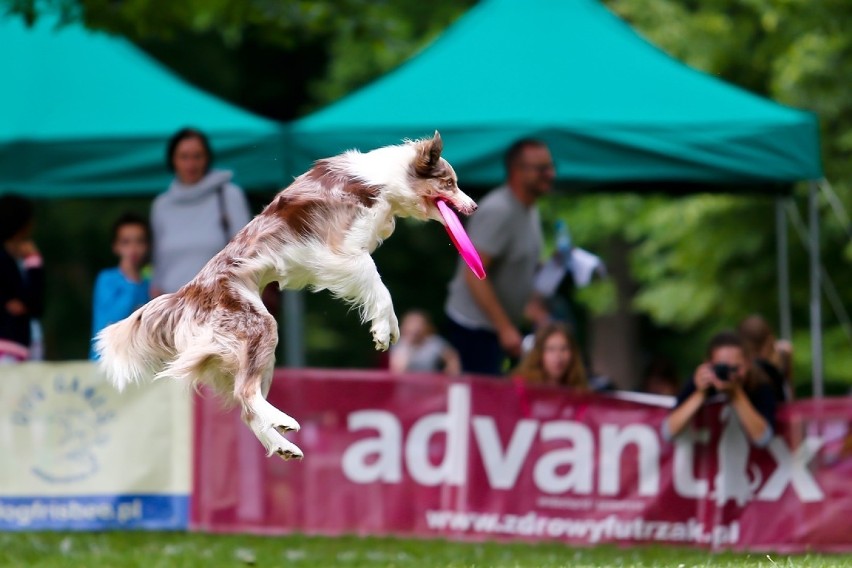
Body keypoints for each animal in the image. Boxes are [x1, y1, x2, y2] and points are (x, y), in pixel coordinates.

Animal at [98, 131, 480, 460]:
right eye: (450, 183)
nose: (474, 207)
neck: (385, 181)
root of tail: (188, 294)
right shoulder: (338, 253)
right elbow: (378, 283)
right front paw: (384, 328)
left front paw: (389, 327)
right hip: (259, 326)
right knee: (245, 392)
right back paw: (283, 421)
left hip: (253, 350)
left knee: (247, 407)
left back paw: (283, 444)